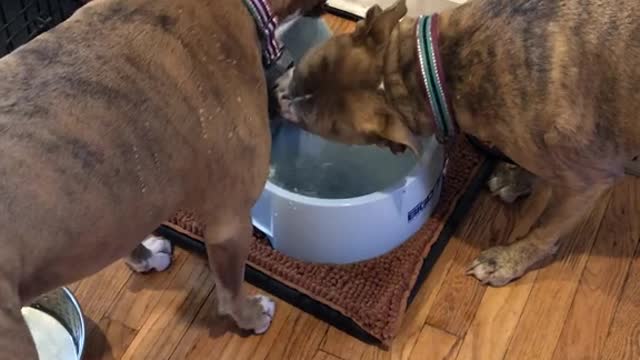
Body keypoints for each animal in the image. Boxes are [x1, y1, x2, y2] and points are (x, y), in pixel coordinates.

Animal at [276, 0, 640, 286]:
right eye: (300, 71)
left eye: (311, 123)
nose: (276, 94)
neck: (432, 71)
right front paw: (519, 178)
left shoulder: (587, 181)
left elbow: (543, 231)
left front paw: (507, 260)